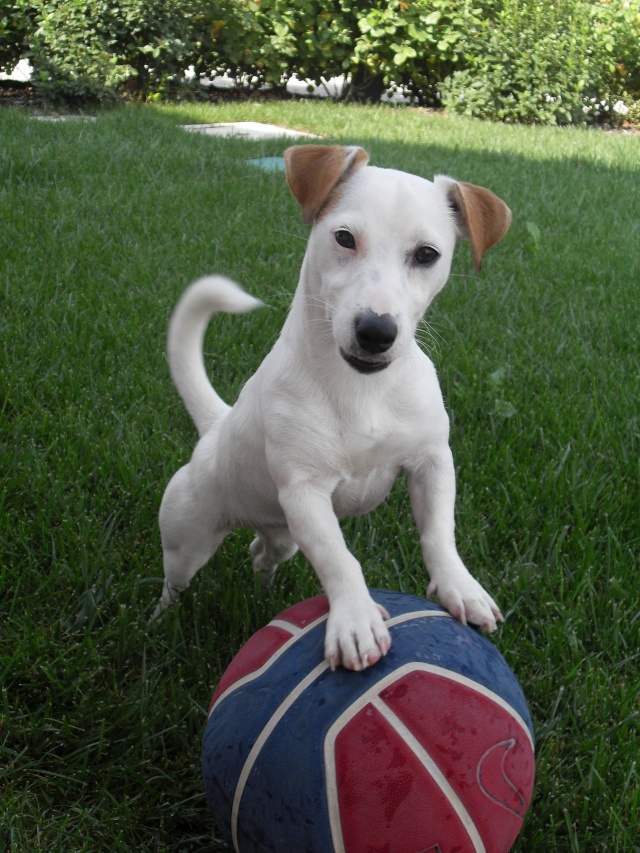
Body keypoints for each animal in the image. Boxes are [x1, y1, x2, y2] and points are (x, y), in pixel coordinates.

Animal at [154, 143, 510, 668]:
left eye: (427, 254)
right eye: (344, 238)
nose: (377, 331)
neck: (363, 390)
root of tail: (216, 426)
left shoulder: (432, 462)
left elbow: (439, 532)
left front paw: (459, 587)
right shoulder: (305, 492)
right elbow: (339, 558)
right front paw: (356, 620)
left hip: (282, 535)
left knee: (261, 554)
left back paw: (262, 595)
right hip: (188, 535)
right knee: (174, 581)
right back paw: (158, 623)